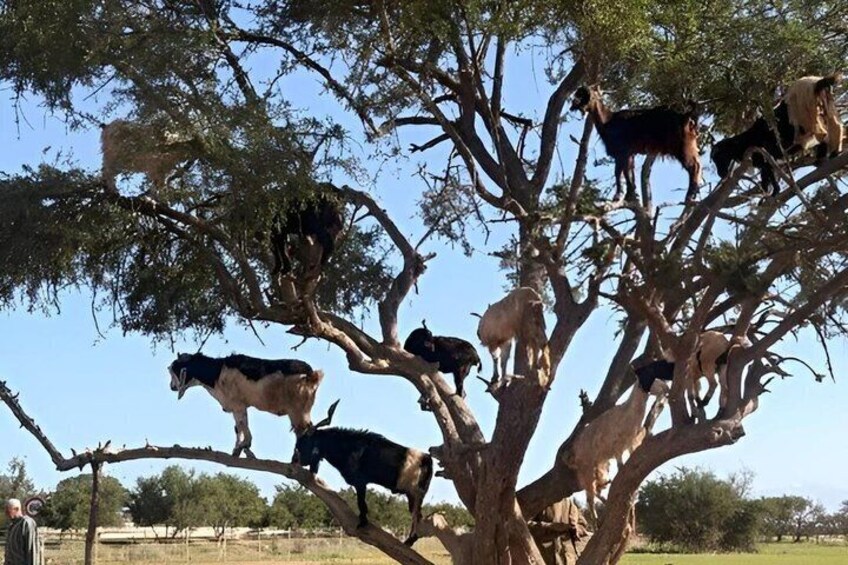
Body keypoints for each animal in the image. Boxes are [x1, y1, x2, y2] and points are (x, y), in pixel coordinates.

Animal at [292, 402, 433, 546]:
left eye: (302, 443)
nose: (295, 460)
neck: (349, 447)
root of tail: (427, 460)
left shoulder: (360, 483)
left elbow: (361, 504)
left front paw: (363, 522)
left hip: (415, 494)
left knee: (417, 517)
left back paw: (409, 540)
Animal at [568, 370, 669, 526]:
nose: (666, 388)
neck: (628, 414)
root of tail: (575, 449)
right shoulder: (616, 447)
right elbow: (621, 468)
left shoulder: (631, 445)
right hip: (586, 466)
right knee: (590, 495)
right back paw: (597, 520)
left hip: (599, 465)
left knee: (594, 490)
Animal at [570, 86, 702, 202]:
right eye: (577, 94)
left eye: (583, 96)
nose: (574, 102)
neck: (608, 120)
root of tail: (685, 117)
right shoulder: (629, 154)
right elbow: (627, 173)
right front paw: (630, 194)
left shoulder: (622, 152)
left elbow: (619, 172)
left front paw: (619, 195)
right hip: (690, 146)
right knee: (697, 165)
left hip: (682, 147)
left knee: (693, 167)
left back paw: (689, 195)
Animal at [712, 74, 842, 196]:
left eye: (718, 155)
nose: (720, 173)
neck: (747, 139)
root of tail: (815, 82)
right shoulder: (765, 158)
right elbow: (767, 173)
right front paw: (770, 190)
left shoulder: (763, 154)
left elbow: (767, 172)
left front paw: (773, 190)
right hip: (825, 107)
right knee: (834, 128)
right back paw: (829, 155)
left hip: (807, 114)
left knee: (824, 133)